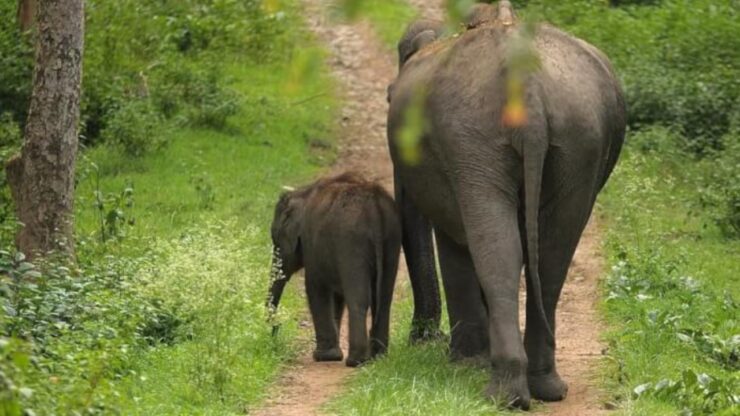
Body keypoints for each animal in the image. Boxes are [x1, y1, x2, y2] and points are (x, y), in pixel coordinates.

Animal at [268, 172, 402, 368]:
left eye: (275, 240)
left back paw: (356, 361)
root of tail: (375, 209)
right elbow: (337, 298)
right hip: (392, 239)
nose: (275, 330)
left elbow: (315, 289)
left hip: (352, 243)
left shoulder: (312, 244)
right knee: (384, 299)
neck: (303, 193)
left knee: (359, 299)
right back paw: (378, 356)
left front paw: (324, 357)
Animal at [388, 0, 624, 410]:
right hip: (578, 139)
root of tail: (525, 83)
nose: (422, 336)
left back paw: (503, 392)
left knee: (498, 250)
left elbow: (454, 241)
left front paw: (465, 362)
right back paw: (542, 388)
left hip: (476, 138)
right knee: (551, 252)